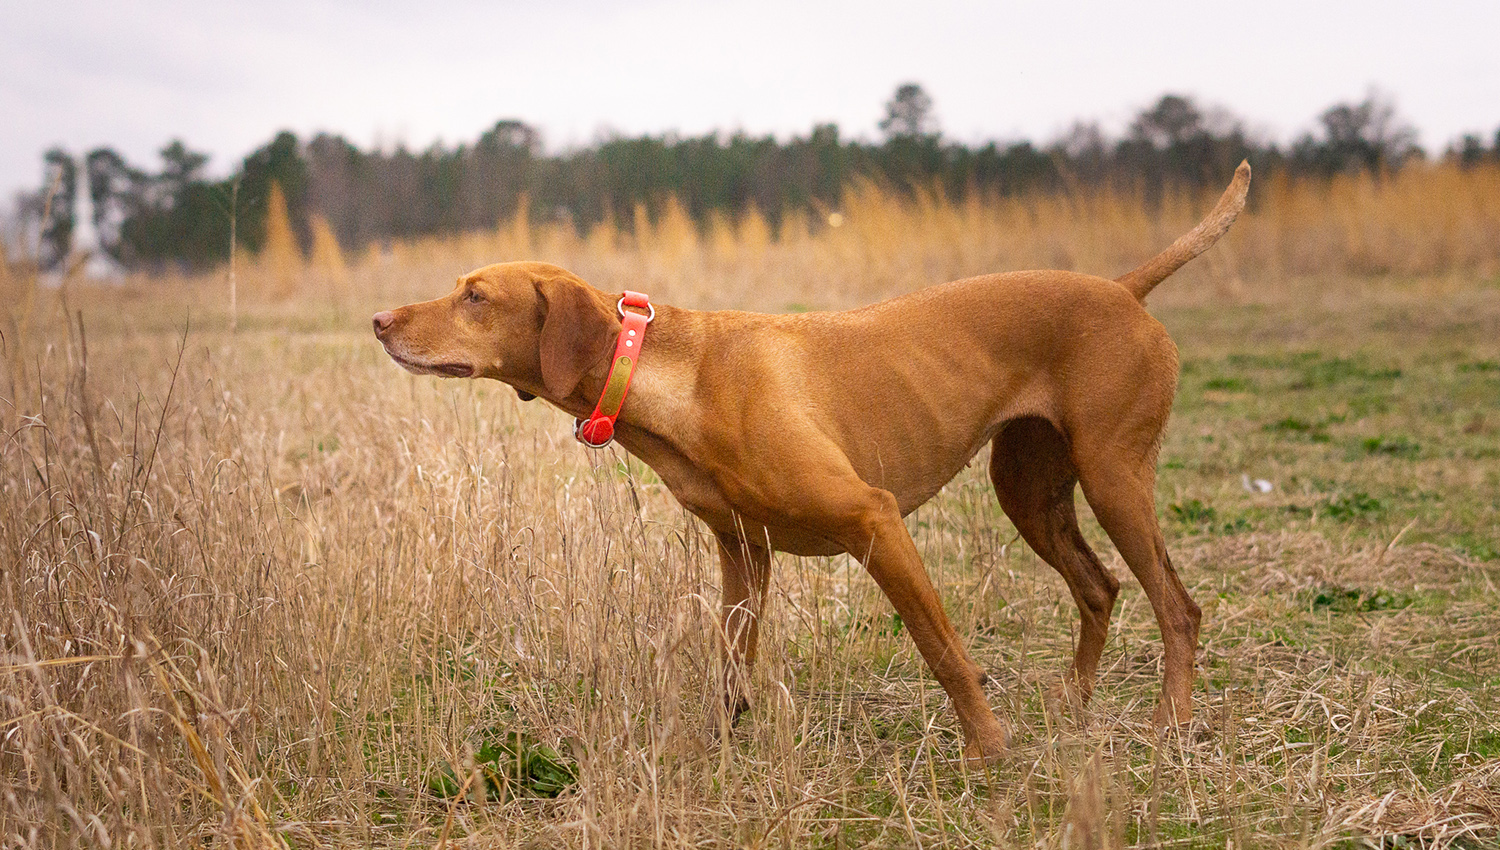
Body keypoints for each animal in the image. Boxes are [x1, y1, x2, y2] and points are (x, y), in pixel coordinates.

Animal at [375, 161, 1254, 764]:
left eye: (475, 297)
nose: (379, 320)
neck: (681, 379)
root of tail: (1125, 290)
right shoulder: (744, 551)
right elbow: (732, 664)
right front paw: (721, 747)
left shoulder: (875, 521)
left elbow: (942, 650)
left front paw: (988, 750)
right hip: (1029, 491)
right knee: (1099, 588)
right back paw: (1072, 703)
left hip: (1112, 476)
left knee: (1178, 607)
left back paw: (1171, 724)